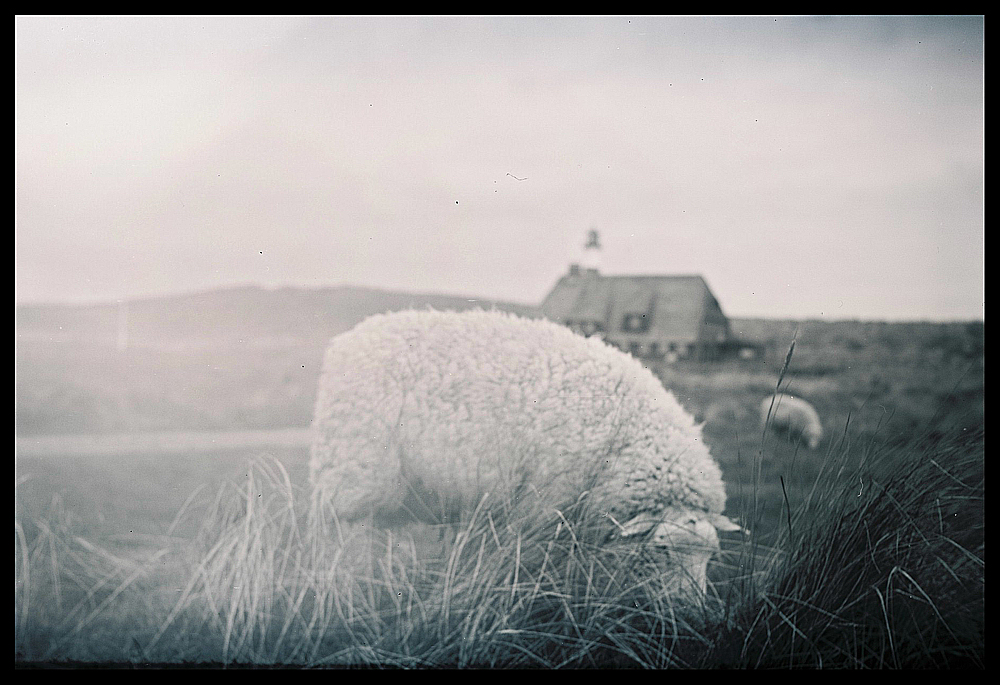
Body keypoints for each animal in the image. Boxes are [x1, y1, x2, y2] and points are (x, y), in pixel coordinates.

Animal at [310, 310, 744, 592]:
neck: (623, 436)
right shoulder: (542, 509)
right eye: (663, 550)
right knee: (341, 536)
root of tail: (350, 338)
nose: (692, 615)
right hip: (356, 472)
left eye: (710, 556)